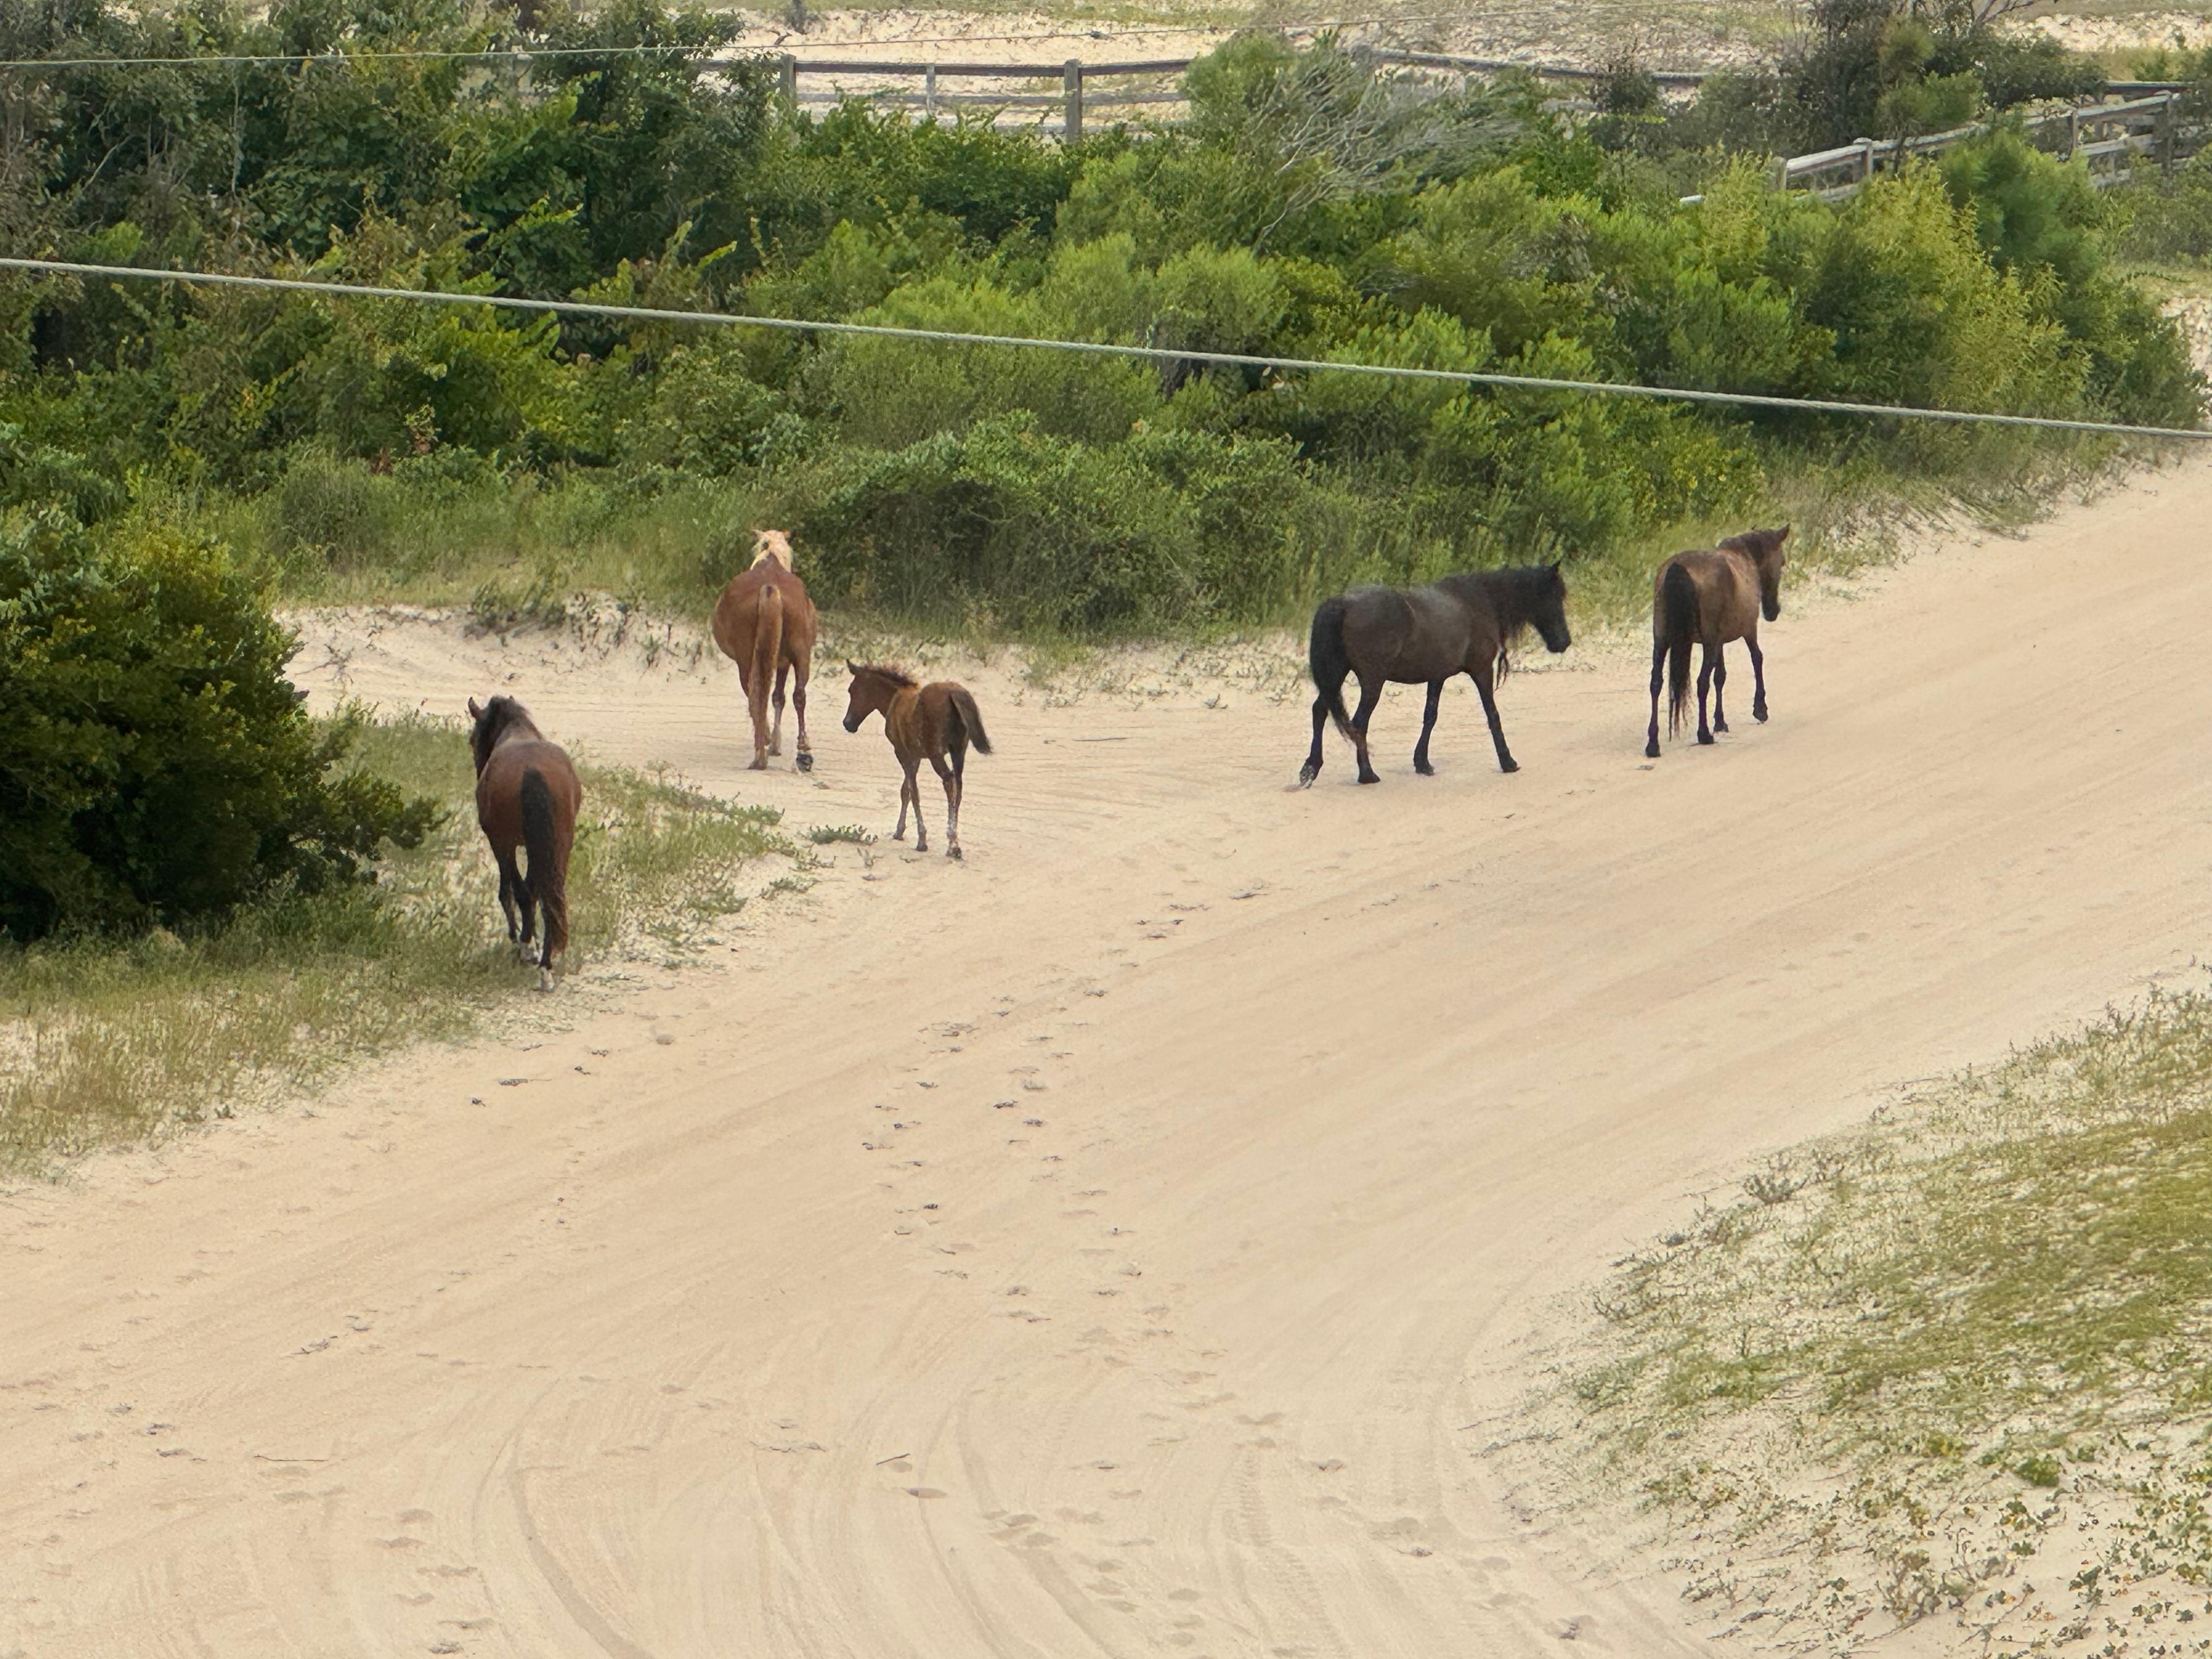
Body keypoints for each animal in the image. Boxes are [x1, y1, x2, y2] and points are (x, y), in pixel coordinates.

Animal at [466, 696, 582, 992]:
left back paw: (529, 949)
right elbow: (536, 889)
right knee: (551, 895)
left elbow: (509, 891)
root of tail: (533, 772)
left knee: (522, 891)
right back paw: (546, 963)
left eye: (473, 740)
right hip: (560, 845)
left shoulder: (500, 842)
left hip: (507, 844)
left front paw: (521, 939)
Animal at [711, 528, 819, 772]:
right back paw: (802, 752)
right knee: (798, 695)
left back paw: (762, 754)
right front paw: (774, 744)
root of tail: (769, 588)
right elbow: (779, 697)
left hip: (747, 659)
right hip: (801, 654)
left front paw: (771, 741)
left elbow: (769, 697)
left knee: (756, 694)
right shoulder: (784, 662)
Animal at [841, 662, 992, 859]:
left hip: (937, 754)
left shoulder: (902, 753)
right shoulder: (915, 756)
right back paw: (955, 844)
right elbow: (905, 790)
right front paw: (900, 831)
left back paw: (952, 843)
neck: (893, 700)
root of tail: (954, 693)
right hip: (959, 752)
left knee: (949, 781)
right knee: (958, 787)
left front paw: (921, 840)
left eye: (852, 689)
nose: (848, 724)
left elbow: (913, 792)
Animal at [1298, 562, 1571, 787]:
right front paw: (1508, 761)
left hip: (1335, 675)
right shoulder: (1482, 670)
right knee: (1359, 723)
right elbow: (1492, 715)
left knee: (1320, 711)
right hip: (1371, 682)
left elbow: (1430, 715)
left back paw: (1311, 769)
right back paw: (1367, 774)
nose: (1564, 642)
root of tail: (1343, 603)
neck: (1481, 602)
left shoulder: (1437, 676)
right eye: (1554, 597)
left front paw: (1422, 763)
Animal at [1645, 526, 1790, 758]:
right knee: (1701, 683)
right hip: (1708, 643)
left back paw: (1653, 744)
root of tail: (1678, 568)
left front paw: (1721, 721)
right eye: (1783, 562)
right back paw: (1704, 734)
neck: (1744, 557)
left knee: (1656, 684)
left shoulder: (1719, 642)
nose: (1772, 611)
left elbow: (1720, 677)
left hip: (1662, 641)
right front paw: (1760, 709)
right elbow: (1757, 659)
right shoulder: (1748, 630)